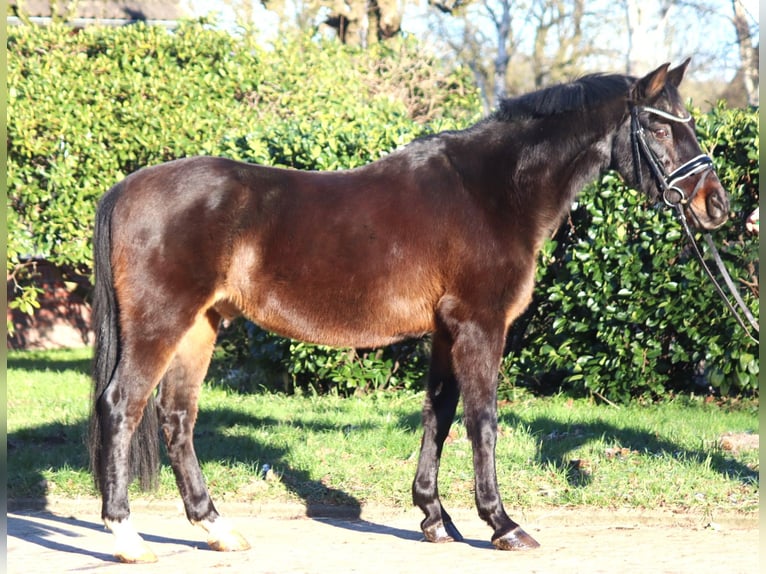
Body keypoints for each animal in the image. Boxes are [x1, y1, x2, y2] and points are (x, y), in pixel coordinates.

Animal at [90, 62, 732, 564]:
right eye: (658, 124)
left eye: (690, 121)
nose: (717, 206)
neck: (493, 192)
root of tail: (126, 188)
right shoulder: (479, 325)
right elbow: (482, 420)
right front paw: (502, 524)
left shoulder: (446, 331)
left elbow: (438, 416)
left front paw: (434, 519)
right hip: (161, 323)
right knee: (122, 407)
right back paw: (127, 537)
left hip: (201, 326)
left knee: (176, 418)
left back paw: (216, 528)